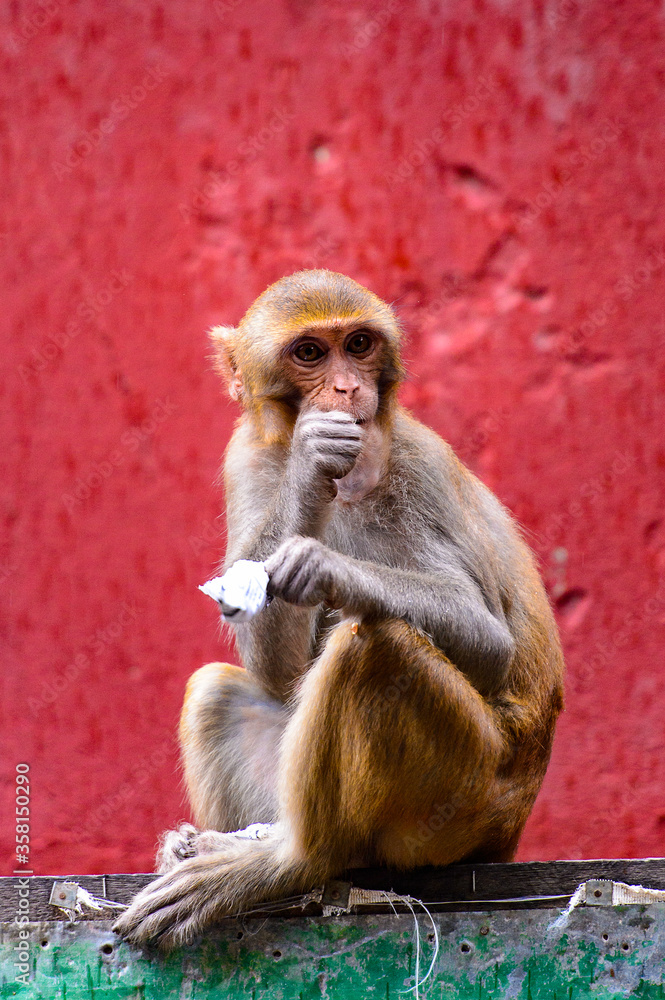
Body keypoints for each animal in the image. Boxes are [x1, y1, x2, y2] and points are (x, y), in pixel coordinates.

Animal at [114, 269, 564, 948]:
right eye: (310, 353)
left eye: (358, 345)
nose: (348, 387)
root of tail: (509, 828)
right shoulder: (246, 455)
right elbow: (276, 671)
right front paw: (307, 467)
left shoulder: (419, 467)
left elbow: (489, 642)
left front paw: (328, 569)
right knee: (218, 688)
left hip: (463, 806)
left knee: (378, 649)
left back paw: (290, 861)